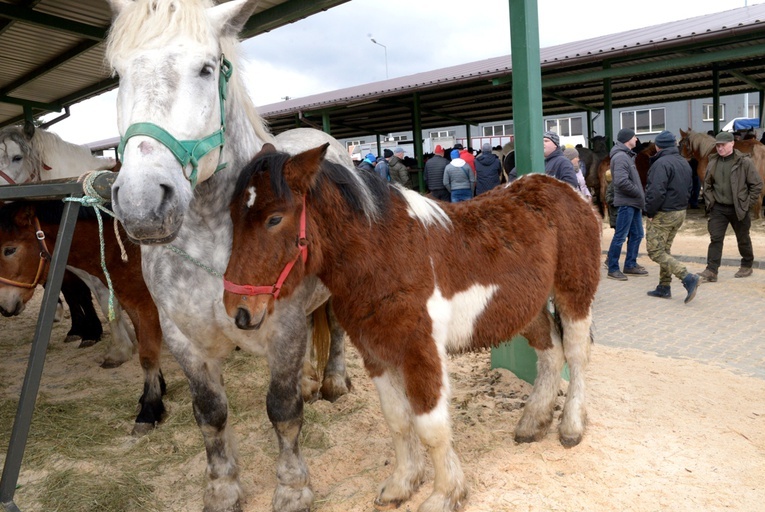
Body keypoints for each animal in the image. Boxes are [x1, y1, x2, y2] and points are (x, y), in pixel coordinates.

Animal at [0, 199, 166, 432]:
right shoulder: (134, 306)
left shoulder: (147, 306)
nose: (4, 306)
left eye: (10, 250)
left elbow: (148, 357)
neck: (126, 248)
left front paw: (149, 411)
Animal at [104, 2, 350, 510]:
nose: (141, 203)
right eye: (118, 74)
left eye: (206, 67)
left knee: (335, 328)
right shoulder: (183, 338)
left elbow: (283, 410)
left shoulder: (285, 330)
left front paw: (292, 487)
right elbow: (210, 414)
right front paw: (222, 488)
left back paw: (334, 381)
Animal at [221, 143, 604, 512]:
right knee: (551, 351)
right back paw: (533, 422)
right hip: (526, 306)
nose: (238, 310)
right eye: (233, 217)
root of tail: (566, 190)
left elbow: (430, 426)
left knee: (576, 354)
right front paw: (402, 484)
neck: (385, 255)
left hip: (573, 292)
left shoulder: (421, 350)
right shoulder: (376, 353)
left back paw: (571, 427)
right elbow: (398, 420)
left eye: (274, 218)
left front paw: (445, 495)